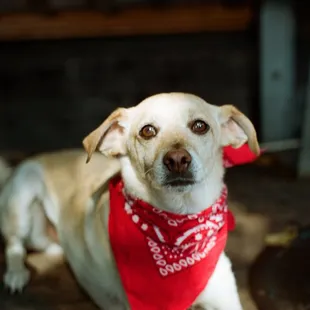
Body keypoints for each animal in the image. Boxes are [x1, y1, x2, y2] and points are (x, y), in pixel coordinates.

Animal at [0, 93, 260, 308]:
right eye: (147, 131)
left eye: (200, 126)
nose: (177, 159)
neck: (177, 226)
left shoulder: (226, 300)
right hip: (24, 190)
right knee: (14, 244)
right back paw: (16, 275)